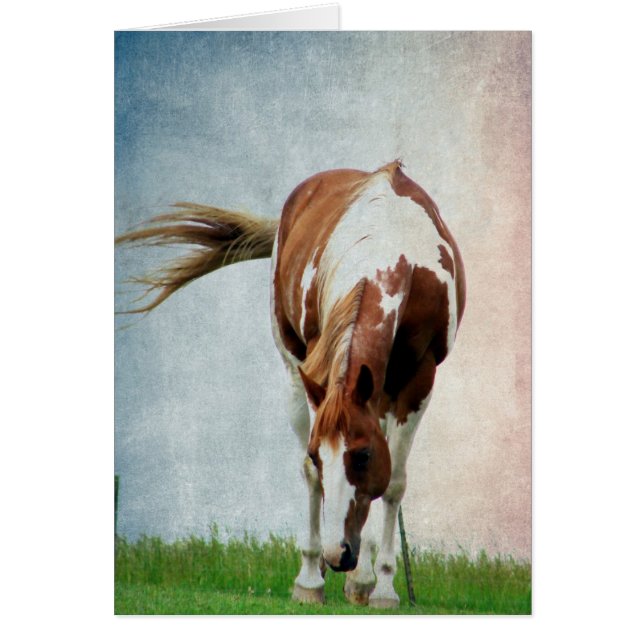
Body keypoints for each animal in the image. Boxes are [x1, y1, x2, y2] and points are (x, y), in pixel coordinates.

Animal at [116, 160, 465, 608]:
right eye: (319, 453)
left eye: (363, 456)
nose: (338, 554)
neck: (388, 254)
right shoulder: (317, 375)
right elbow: (312, 475)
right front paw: (311, 580)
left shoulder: (419, 380)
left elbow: (393, 484)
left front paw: (385, 586)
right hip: (294, 370)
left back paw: (362, 579)